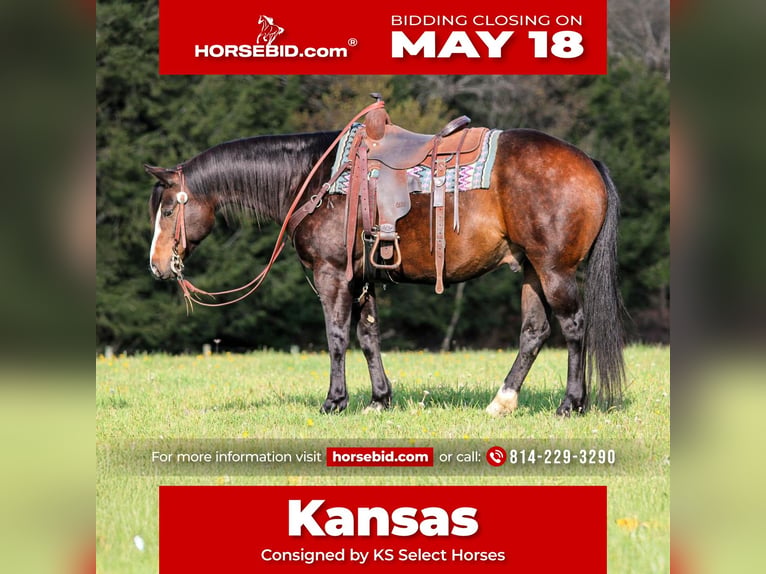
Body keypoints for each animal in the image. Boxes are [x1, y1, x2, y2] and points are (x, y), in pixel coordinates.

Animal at [146, 111, 625, 417]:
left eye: (168, 209)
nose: (157, 266)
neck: (317, 179)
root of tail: (588, 162)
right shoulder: (362, 278)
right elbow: (368, 337)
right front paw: (379, 399)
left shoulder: (332, 274)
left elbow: (337, 337)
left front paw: (335, 401)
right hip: (530, 269)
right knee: (534, 332)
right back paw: (502, 402)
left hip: (554, 269)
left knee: (574, 327)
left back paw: (570, 404)